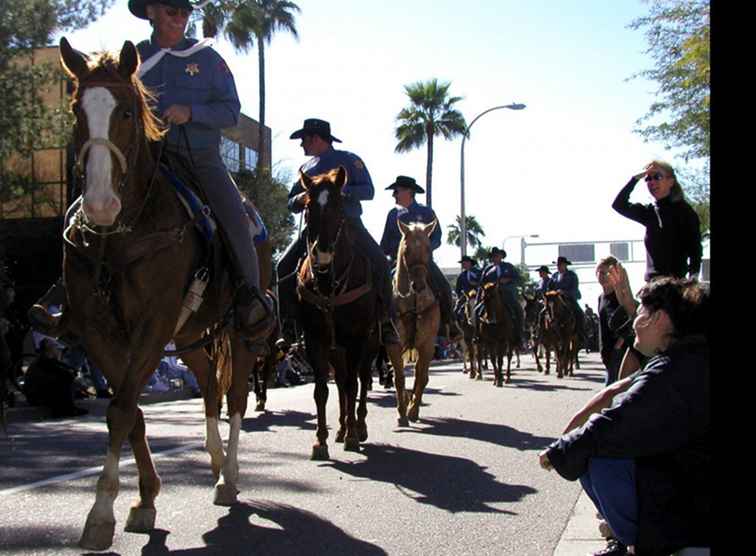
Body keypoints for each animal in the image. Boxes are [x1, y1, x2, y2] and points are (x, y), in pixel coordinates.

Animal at [55, 40, 272, 552]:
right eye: (76, 110)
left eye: (127, 112)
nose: (100, 204)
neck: (121, 235)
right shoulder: (100, 331)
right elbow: (129, 410)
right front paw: (145, 498)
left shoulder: (152, 325)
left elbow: (120, 409)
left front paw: (101, 512)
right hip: (192, 335)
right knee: (210, 387)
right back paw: (215, 460)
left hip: (241, 334)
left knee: (236, 396)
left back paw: (229, 475)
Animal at [294, 166, 378, 460]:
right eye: (308, 206)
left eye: (339, 206)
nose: (322, 253)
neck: (329, 283)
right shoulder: (315, 339)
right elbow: (322, 390)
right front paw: (321, 441)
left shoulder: (356, 339)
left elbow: (353, 385)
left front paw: (353, 435)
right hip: (336, 350)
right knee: (341, 382)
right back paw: (341, 429)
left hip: (369, 344)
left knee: (361, 380)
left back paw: (358, 428)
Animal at [390, 219, 442, 424]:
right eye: (407, 250)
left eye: (428, 248)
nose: (418, 285)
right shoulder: (394, 345)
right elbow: (399, 377)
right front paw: (401, 412)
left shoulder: (427, 345)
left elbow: (422, 377)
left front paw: (413, 410)